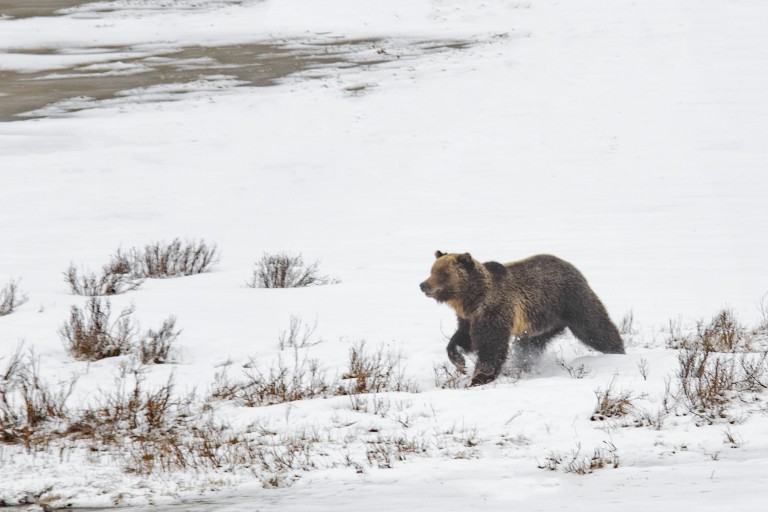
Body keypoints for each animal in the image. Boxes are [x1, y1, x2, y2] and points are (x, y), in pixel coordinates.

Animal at [420, 250, 624, 386]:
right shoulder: (469, 318)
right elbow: (463, 338)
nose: (423, 285)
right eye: (432, 270)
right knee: (528, 346)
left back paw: (617, 352)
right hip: (540, 323)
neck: (472, 298)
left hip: (571, 302)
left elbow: (491, 346)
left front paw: (479, 378)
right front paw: (459, 361)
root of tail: (571, 265)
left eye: (442, 274)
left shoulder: (494, 311)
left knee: (595, 327)